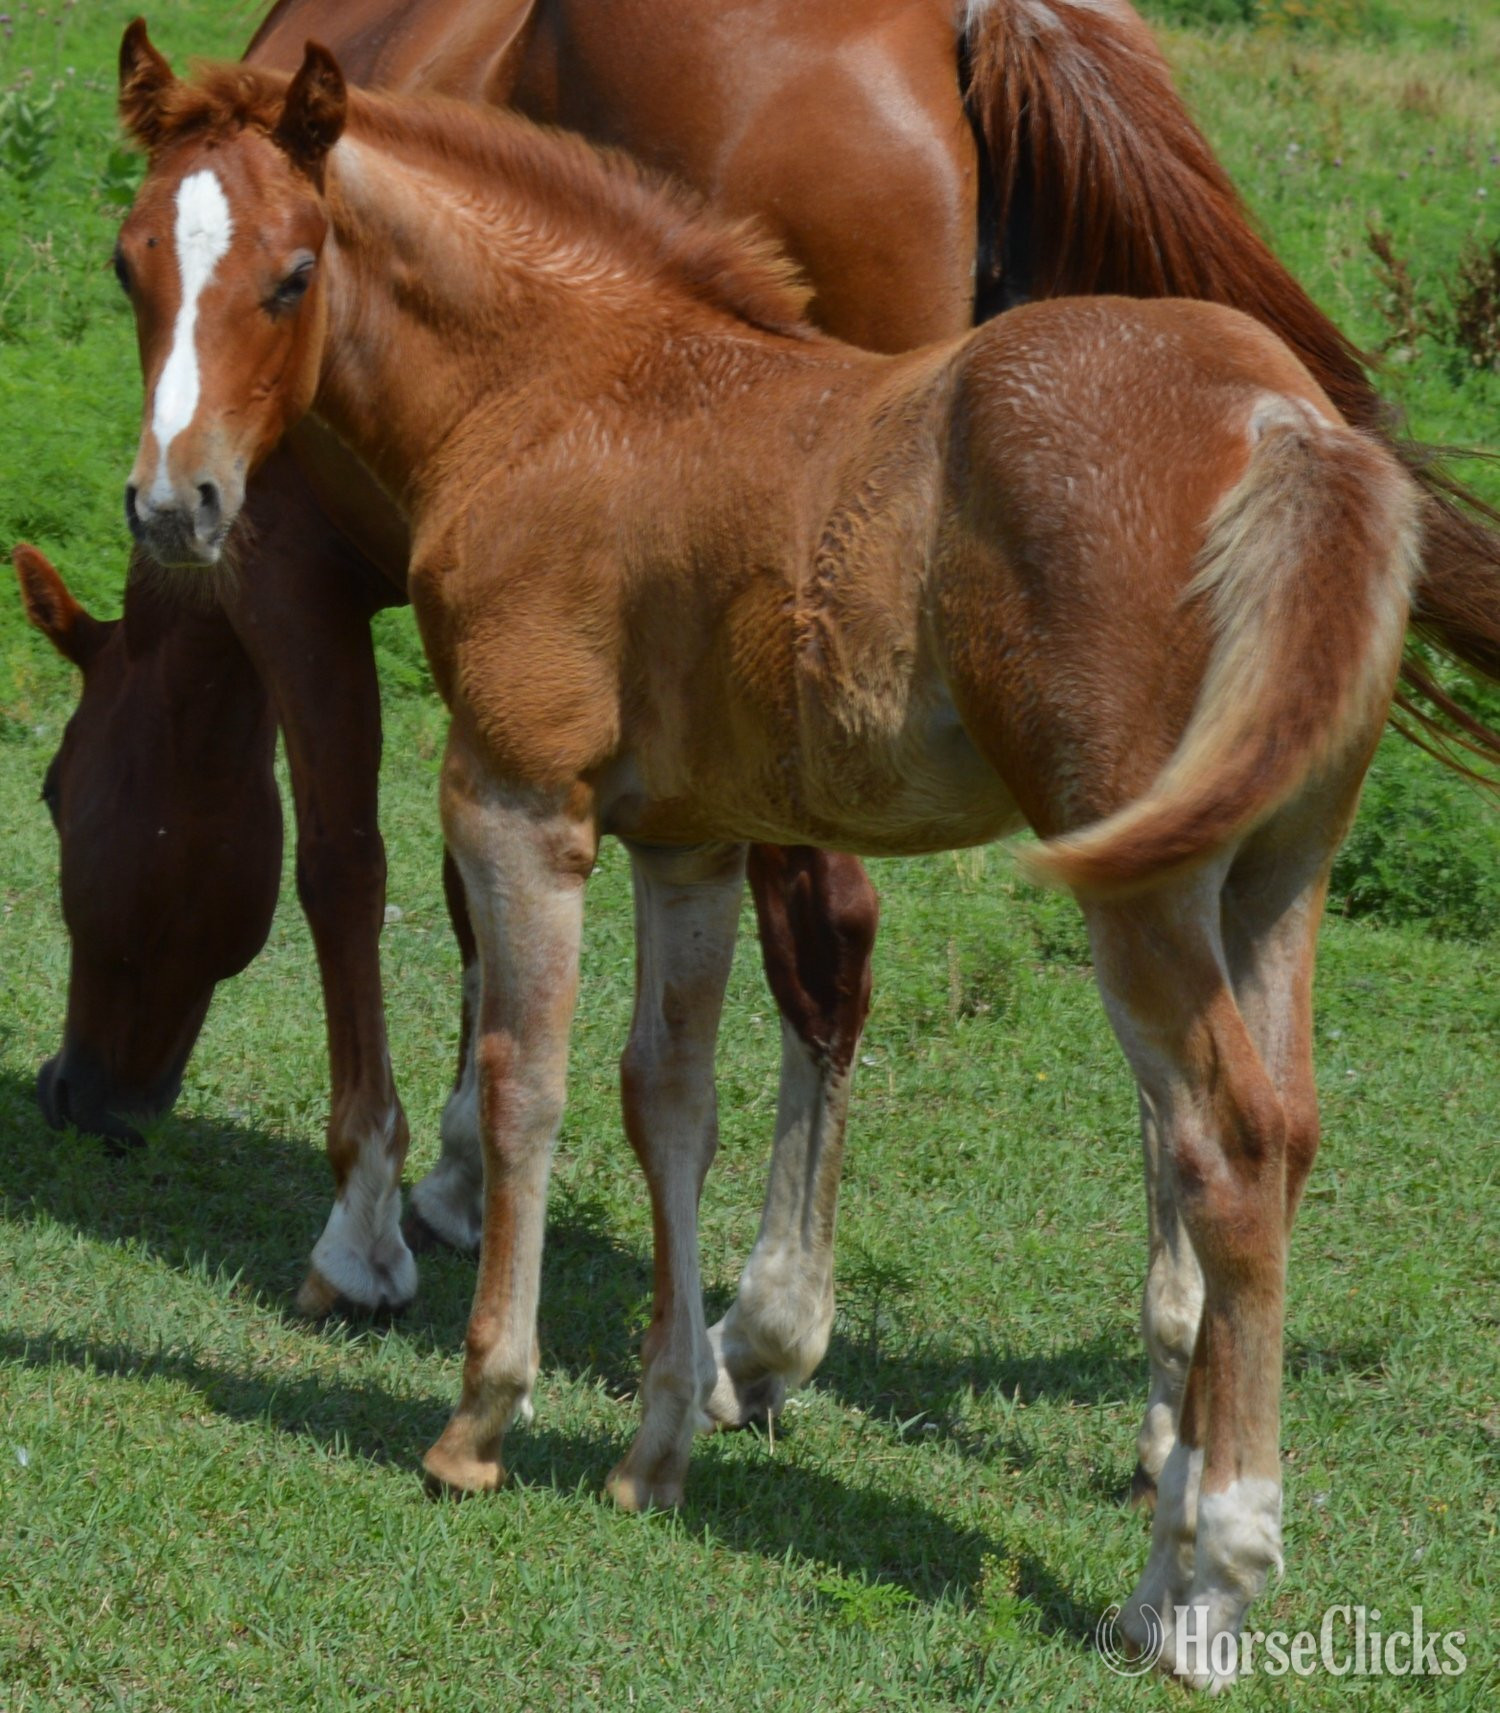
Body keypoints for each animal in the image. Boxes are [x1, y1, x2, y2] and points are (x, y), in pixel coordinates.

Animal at [23, 0, 1500, 1501]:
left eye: (292, 276)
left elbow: (478, 1022)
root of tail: (1285, 424)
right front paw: (657, 1437)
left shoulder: (488, 767)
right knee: (1254, 1118)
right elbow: (665, 1096)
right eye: (130, 262)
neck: (566, 386)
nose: (177, 502)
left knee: (1195, 1122)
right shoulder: (685, 831)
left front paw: (448, 1354)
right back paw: (1160, 1432)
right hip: (1256, 860)